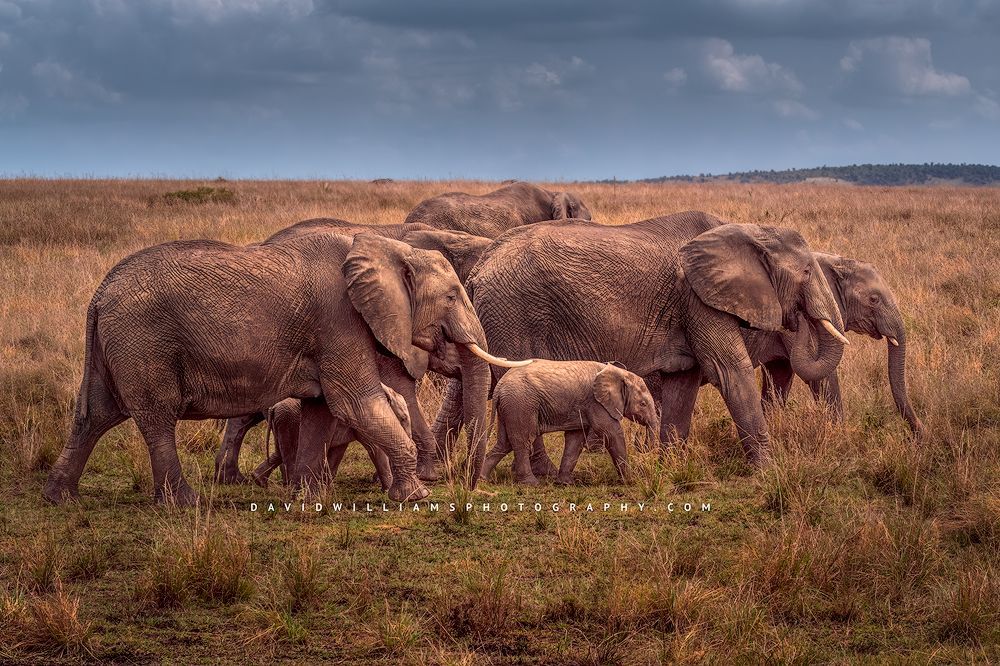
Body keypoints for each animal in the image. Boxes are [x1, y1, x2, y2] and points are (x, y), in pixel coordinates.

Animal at [251, 383, 412, 489]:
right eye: (403, 418)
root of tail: (274, 408)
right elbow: (374, 447)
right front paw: (387, 490)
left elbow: (339, 450)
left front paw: (325, 486)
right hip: (288, 420)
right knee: (290, 453)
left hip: (281, 422)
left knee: (279, 452)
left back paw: (260, 481)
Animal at [438, 211, 848, 466]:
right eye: (807, 272)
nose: (797, 321)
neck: (745, 229)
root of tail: (477, 270)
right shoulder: (697, 298)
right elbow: (730, 373)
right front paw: (767, 470)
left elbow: (684, 384)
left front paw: (671, 466)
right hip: (513, 313)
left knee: (464, 386)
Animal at [481, 361, 660, 486]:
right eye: (643, 404)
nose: (641, 441)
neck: (619, 373)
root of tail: (499, 388)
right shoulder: (596, 403)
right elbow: (611, 433)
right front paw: (630, 481)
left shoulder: (584, 406)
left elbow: (575, 439)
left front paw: (565, 484)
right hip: (521, 404)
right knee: (523, 440)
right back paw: (531, 483)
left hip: (510, 406)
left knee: (504, 443)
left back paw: (483, 479)